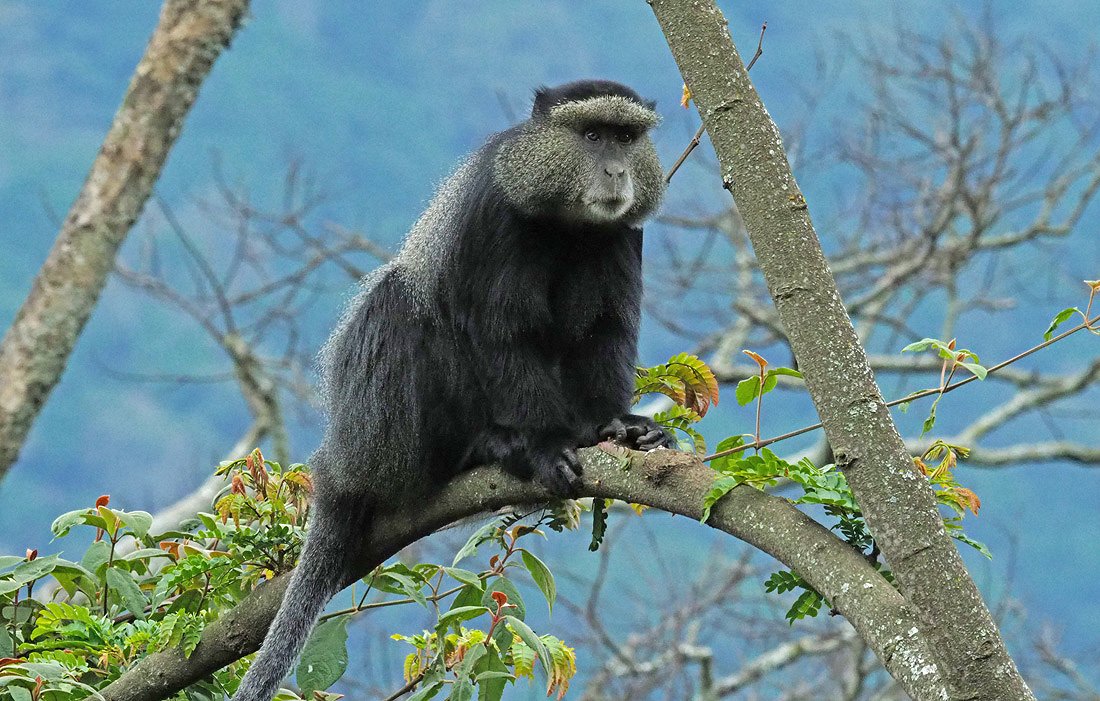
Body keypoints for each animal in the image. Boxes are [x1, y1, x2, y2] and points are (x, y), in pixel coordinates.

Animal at [231, 80, 670, 701]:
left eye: (626, 137)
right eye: (591, 135)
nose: (615, 171)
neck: (566, 223)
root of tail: (343, 463)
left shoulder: (621, 235)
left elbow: (604, 331)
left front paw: (618, 426)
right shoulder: (495, 215)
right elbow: (500, 330)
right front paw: (543, 446)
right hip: (385, 438)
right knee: (397, 299)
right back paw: (483, 448)